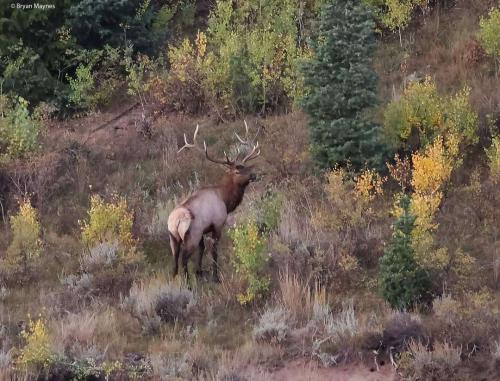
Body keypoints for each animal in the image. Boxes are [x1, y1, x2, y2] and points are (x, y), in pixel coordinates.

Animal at [168, 122, 262, 282]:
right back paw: (188, 284)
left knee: (174, 261)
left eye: (245, 166)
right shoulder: (217, 224)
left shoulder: (204, 231)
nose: (254, 175)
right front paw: (215, 277)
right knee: (184, 259)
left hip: (173, 237)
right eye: (237, 171)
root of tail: (176, 222)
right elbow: (214, 251)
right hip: (192, 235)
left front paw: (199, 272)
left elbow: (202, 250)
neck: (225, 200)